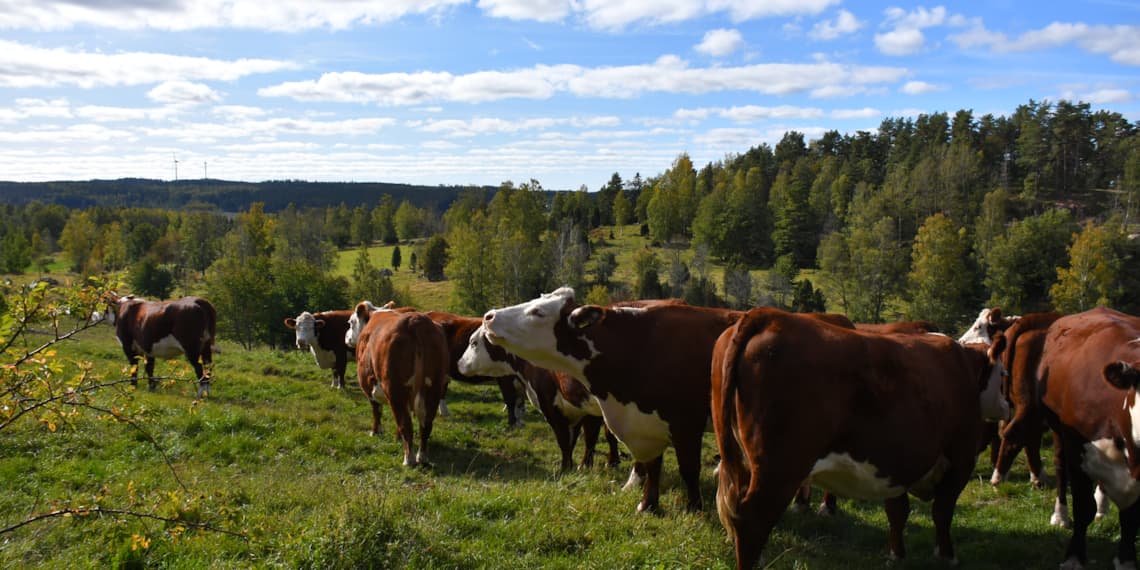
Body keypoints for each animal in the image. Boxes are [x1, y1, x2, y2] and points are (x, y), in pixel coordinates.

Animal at [346, 303, 449, 467]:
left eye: (350, 322)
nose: (347, 338)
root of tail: (416, 320)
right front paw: (397, 437)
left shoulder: (368, 386)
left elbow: (376, 410)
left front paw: (375, 431)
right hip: (434, 388)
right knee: (425, 425)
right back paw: (422, 457)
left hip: (396, 390)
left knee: (406, 424)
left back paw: (409, 459)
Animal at [458, 326, 624, 471]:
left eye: (473, 342)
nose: (459, 363)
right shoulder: (579, 408)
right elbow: (583, 438)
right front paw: (581, 466)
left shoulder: (550, 403)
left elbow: (566, 439)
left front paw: (566, 468)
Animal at [715, 305, 1012, 567]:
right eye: (1003, 374)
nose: (1008, 405)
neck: (962, 367)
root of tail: (769, 316)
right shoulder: (961, 459)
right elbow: (942, 511)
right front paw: (946, 556)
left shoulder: (895, 464)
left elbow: (897, 512)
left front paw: (896, 554)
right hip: (780, 470)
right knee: (752, 521)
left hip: (742, 460)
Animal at [1035, 310, 1140, 567]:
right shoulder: (1076, 448)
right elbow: (1083, 508)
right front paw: (1074, 558)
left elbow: (1131, 517)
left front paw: (1126, 560)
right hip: (1057, 431)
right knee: (1061, 470)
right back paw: (1060, 515)